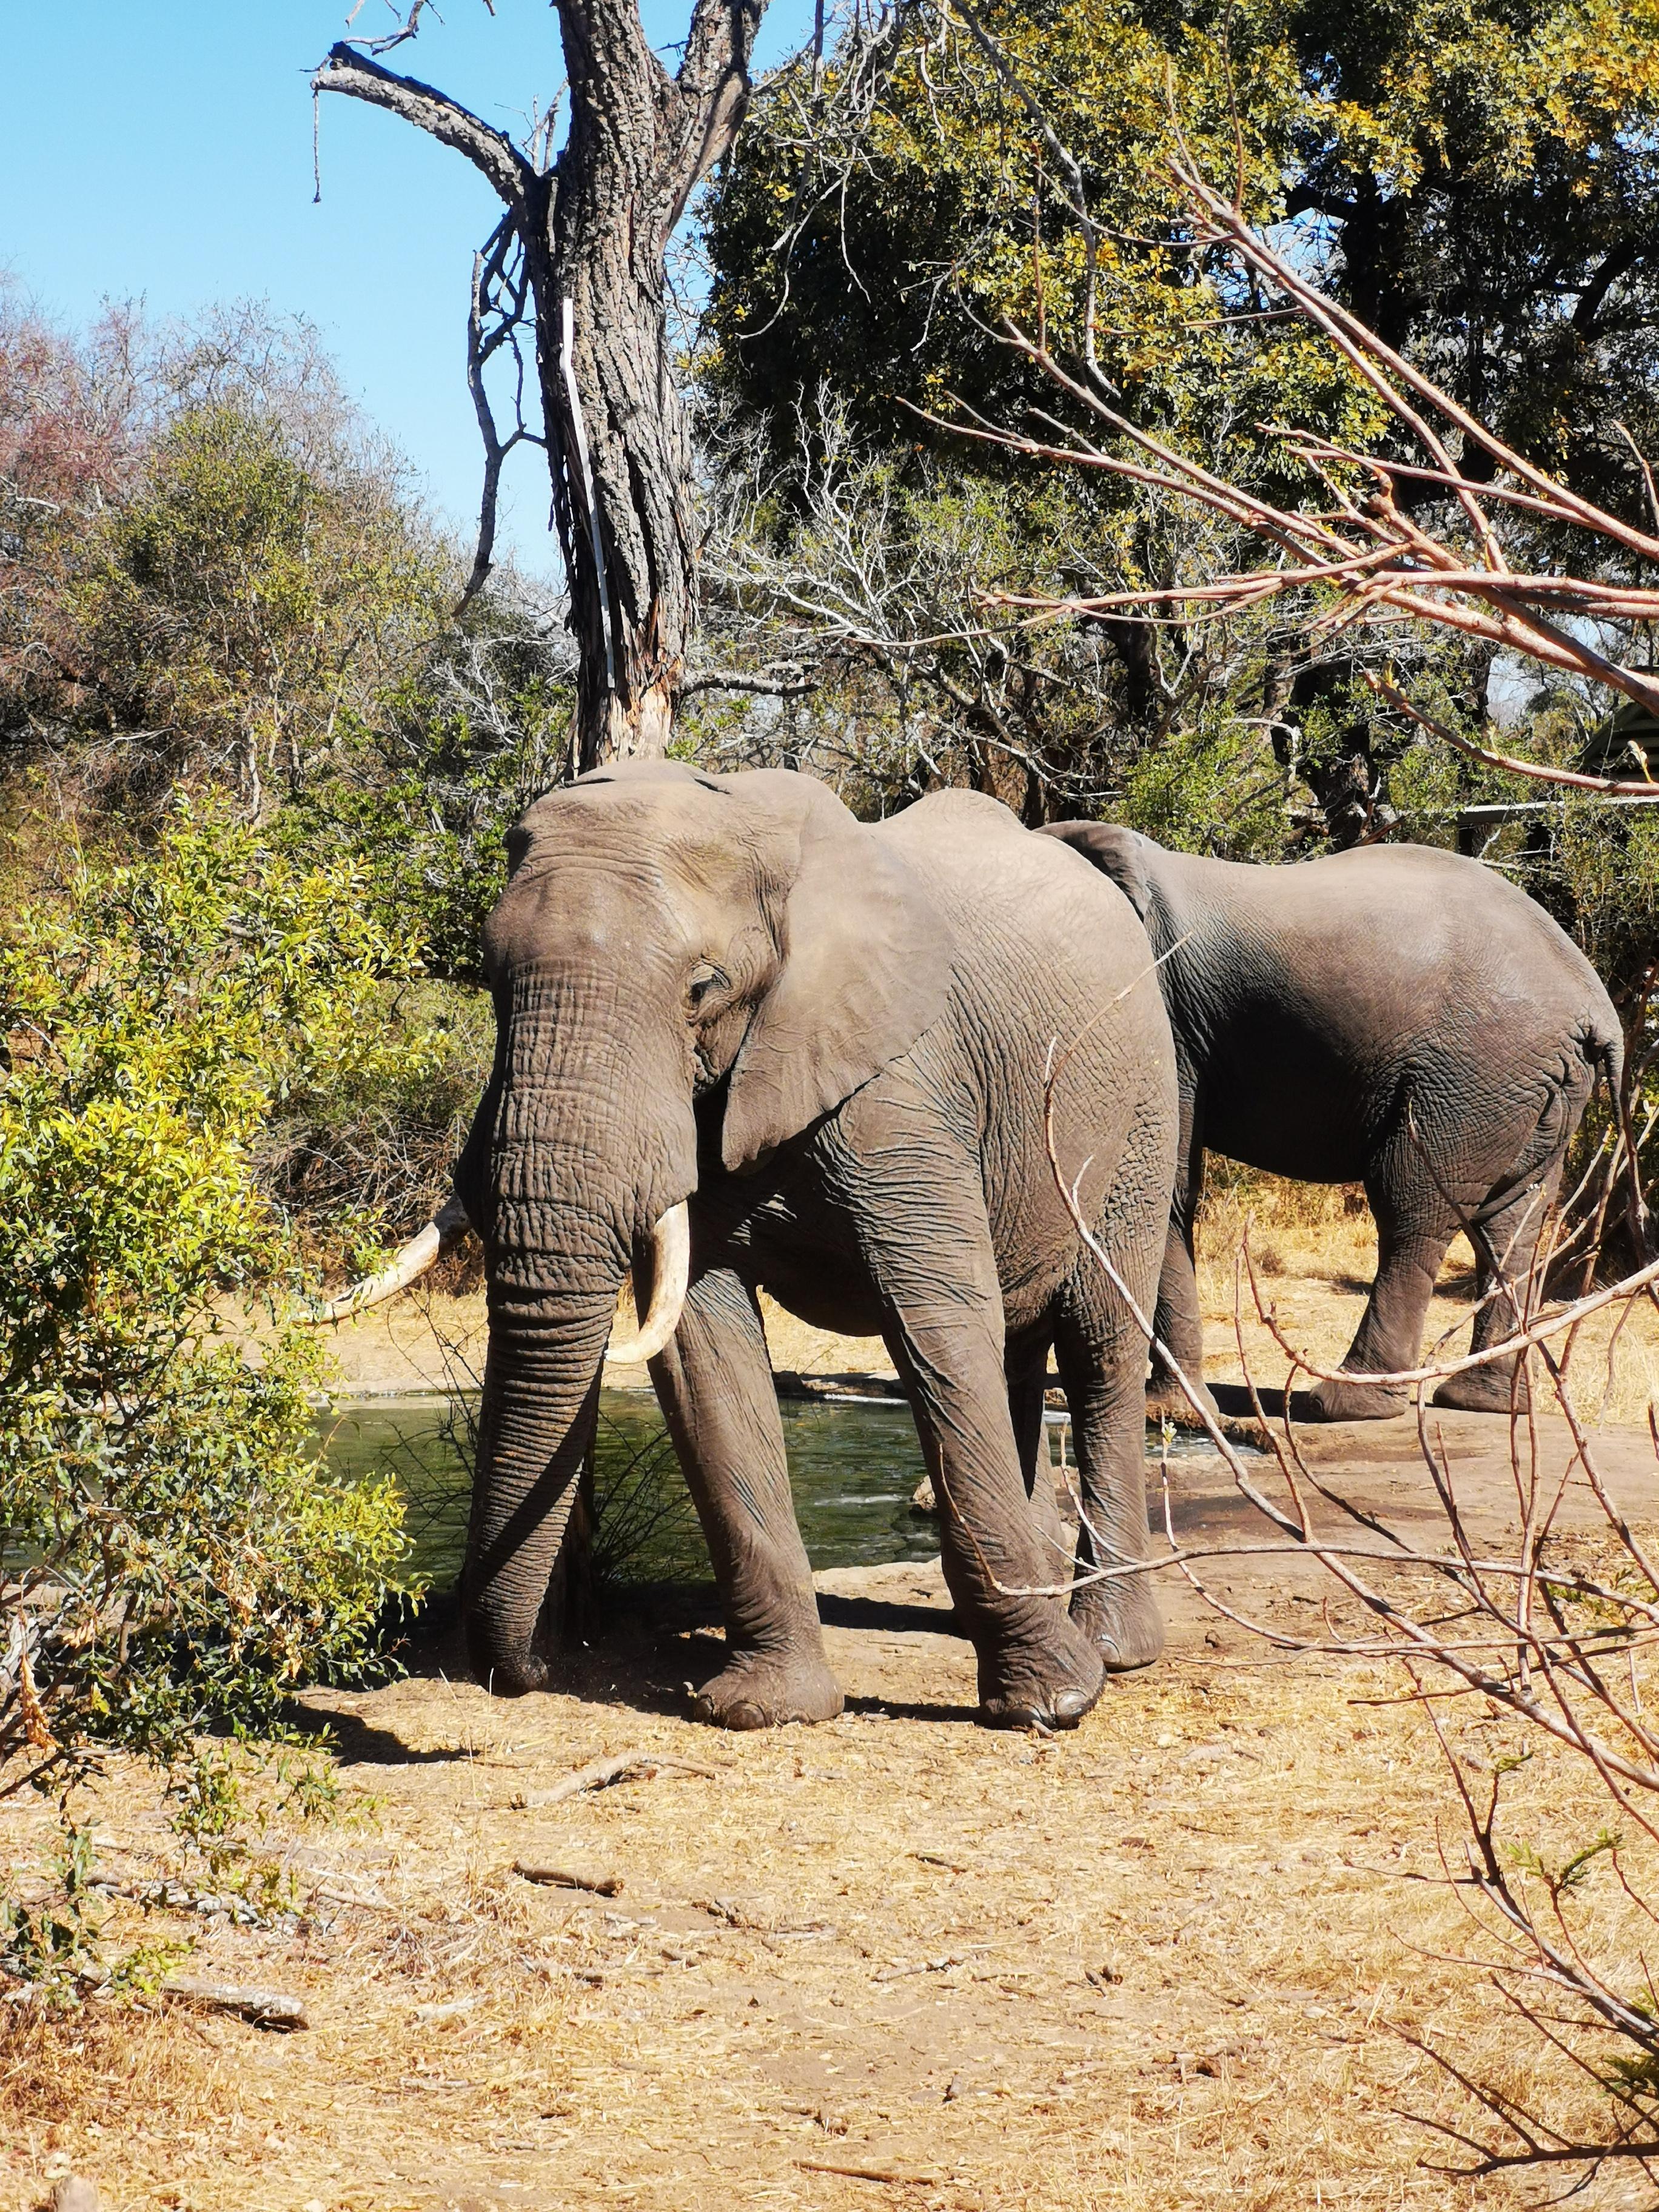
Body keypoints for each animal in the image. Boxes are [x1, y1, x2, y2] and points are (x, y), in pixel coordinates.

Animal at [318, 769, 1176, 1734]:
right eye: (495, 983)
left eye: (702, 988)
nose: (533, 1666)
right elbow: (702, 1350)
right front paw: (768, 1709)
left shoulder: (905, 1089)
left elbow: (938, 1323)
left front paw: (1052, 1706)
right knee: (1022, 1350)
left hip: (1140, 1107)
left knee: (1099, 1344)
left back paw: (1113, 1651)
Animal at [1039, 823, 1627, 1424]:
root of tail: (1595, 1007)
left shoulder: (1170, 1015)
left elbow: (1167, 1184)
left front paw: (1173, 1413)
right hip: (1535, 1090)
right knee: (1511, 1222)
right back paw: (1483, 1402)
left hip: (1474, 1073)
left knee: (1411, 1206)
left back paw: (1347, 1404)